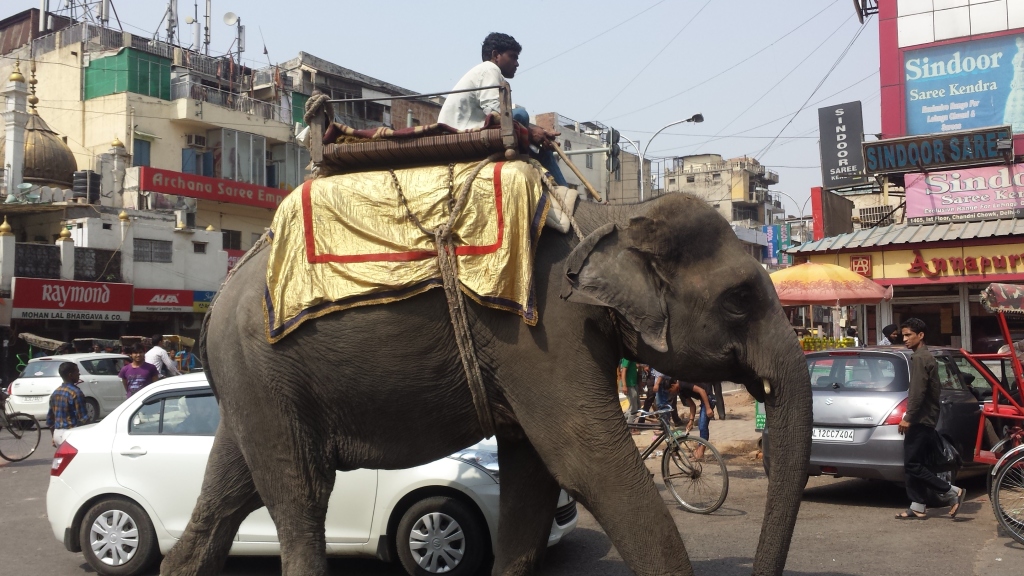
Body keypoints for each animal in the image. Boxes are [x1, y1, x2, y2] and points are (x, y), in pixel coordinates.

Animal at [161, 191, 815, 573]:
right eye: (740, 298)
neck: (608, 216)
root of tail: (217, 302)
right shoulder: (543, 332)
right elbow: (587, 462)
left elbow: (532, 478)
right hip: (264, 371)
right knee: (300, 496)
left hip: (254, 384)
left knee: (230, 490)